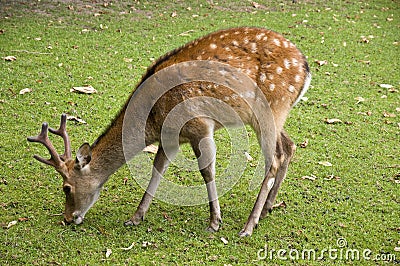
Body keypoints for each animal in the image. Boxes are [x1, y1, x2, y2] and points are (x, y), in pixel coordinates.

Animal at [27, 26, 310, 236]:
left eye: (66, 187)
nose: (67, 218)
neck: (152, 119)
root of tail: (305, 68)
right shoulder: (172, 137)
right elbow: (157, 168)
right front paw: (136, 217)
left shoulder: (199, 125)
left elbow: (207, 171)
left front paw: (214, 222)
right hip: (272, 115)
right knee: (289, 147)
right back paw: (267, 208)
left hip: (271, 107)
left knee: (274, 159)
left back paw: (248, 226)